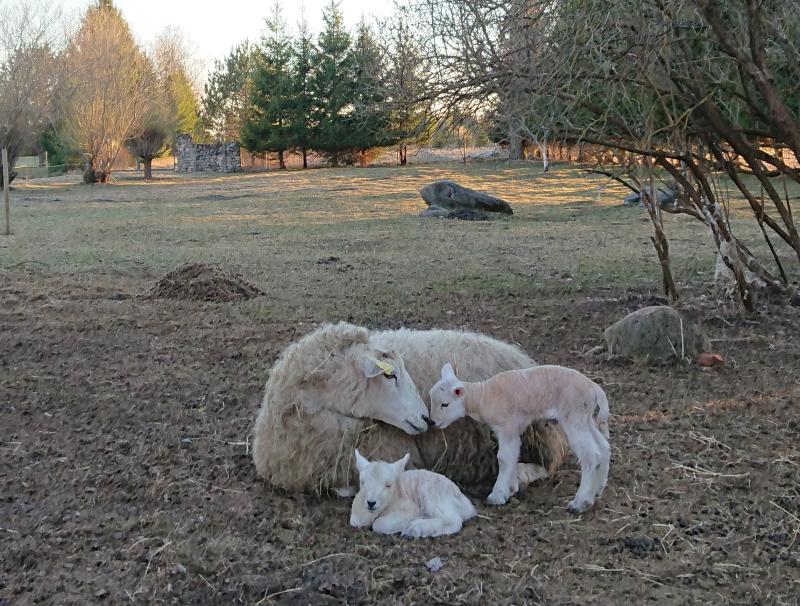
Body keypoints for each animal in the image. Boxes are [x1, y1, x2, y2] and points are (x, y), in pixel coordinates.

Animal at [432, 364, 612, 516]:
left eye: (445, 404)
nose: (432, 422)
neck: (482, 397)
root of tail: (593, 387)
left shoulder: (507, 426)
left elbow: (504, 458)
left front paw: (497, 495)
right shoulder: (513, 429)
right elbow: (513, 455)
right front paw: (511, 488)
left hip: (574, 415)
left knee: (590, 456)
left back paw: (581, 503)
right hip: (585, 417)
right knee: (604, 447)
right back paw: (598, 489)